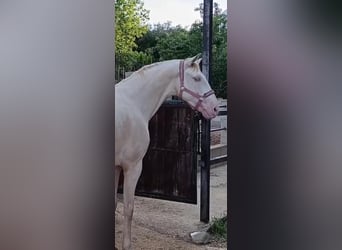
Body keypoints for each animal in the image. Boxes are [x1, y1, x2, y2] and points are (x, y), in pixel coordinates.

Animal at [115, 55, 219, 249]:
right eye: (197, 78)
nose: (215, 108)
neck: (133, 103)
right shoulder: (132, 167)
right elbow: (128, 208)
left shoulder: (116, 167)